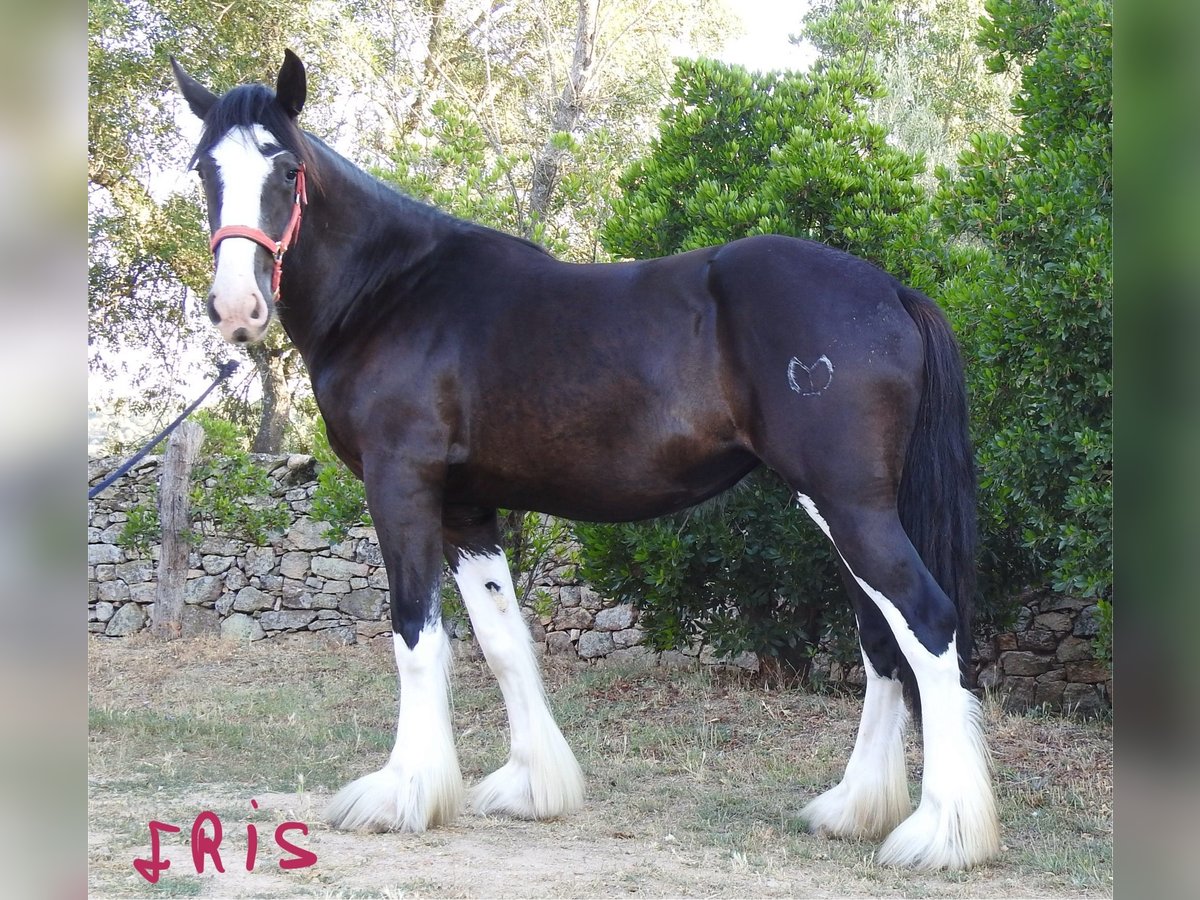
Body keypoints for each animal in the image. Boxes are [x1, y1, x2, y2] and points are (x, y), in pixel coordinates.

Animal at [174, 51, 998, 873]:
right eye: (203, 169)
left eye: (284, 169)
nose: (236, 309)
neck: (392, 292)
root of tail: (889, 290)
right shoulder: (465, 509)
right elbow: (503, 640)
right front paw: (532, 786)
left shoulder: (401, 484)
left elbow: (415, 636)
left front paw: (401, 795)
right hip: (842, 508)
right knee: (881, 639)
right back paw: (855, 810)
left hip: (847, 503)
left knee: (925, 623)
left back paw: (941, 832)